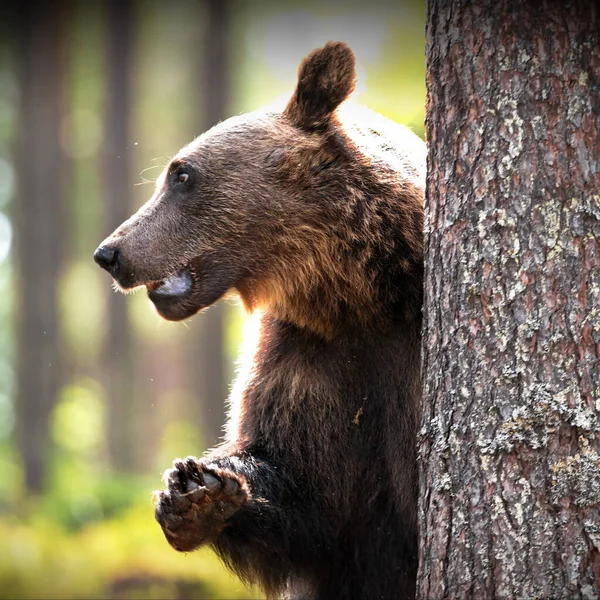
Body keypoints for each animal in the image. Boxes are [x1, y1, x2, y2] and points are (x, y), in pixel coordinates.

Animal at [94, 42, 424, 600]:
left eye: (181, 174)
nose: (110, 253)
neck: (366, 292)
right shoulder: (308, 356)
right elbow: (305, 489)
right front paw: (195, 492)